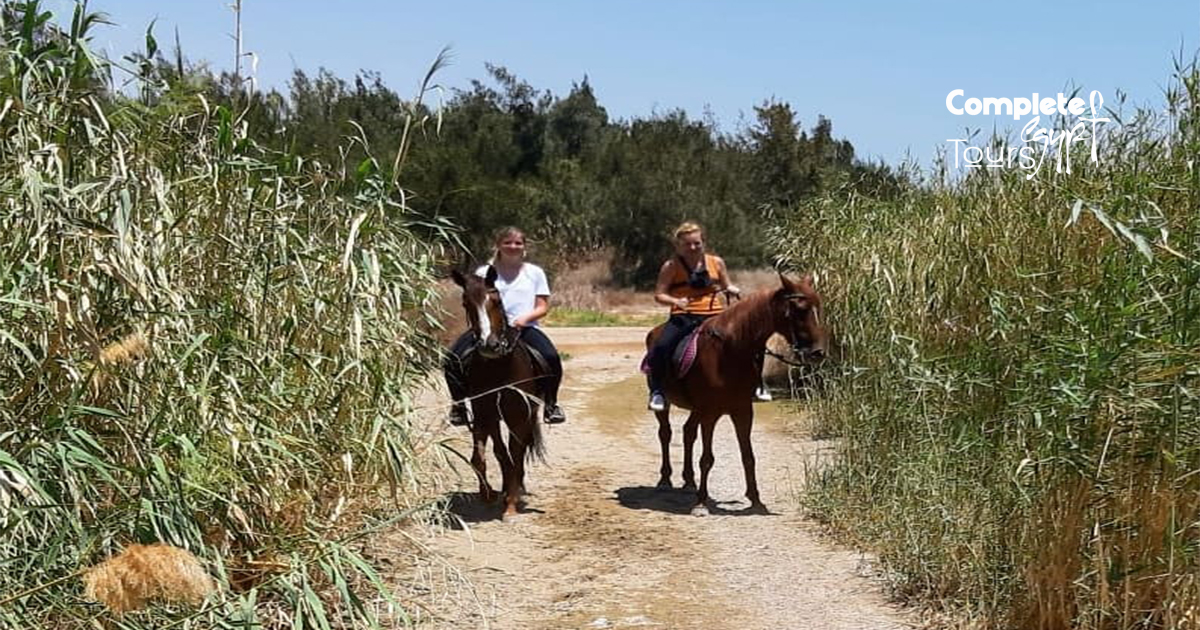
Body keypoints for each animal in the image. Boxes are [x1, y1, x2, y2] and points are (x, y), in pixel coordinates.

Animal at [448, 267, 547, 518]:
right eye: (466, 303)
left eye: (496, 300)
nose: (489, 345)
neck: (499, 366)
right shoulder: (484, 414)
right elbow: (481, 457)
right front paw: (488, 494)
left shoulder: (518, 416)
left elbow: (516, 453)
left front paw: (511, 504)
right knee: (500, 452)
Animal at [648, 272, 825, 513]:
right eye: (799, 309)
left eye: (818, 306)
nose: (817, 353)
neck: (730, 351)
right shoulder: (711, 413)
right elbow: (707, 458)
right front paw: (701, 503)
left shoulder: (742, 410)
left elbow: (748, 456)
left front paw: (756, 500)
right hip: (669, 405)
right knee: (665, 433)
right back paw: (665, 480)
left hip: (697, 409)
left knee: (688, 432)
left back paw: (689, 481)